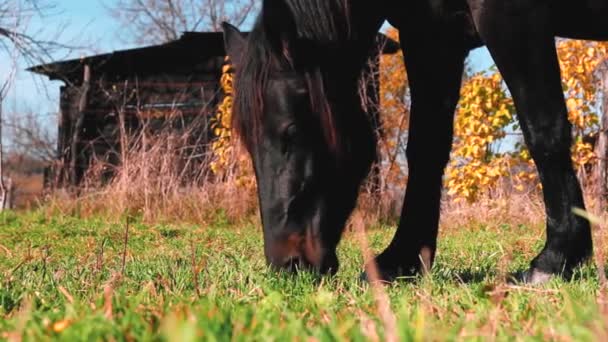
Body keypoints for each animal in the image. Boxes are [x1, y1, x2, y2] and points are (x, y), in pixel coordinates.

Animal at [221, 0, 604, 284]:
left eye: (291, 131)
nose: (288, 265)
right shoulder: (432, 33)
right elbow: (426, 147)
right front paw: (400, 259)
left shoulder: (510, 17)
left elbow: (543, 130)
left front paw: (555, 258)